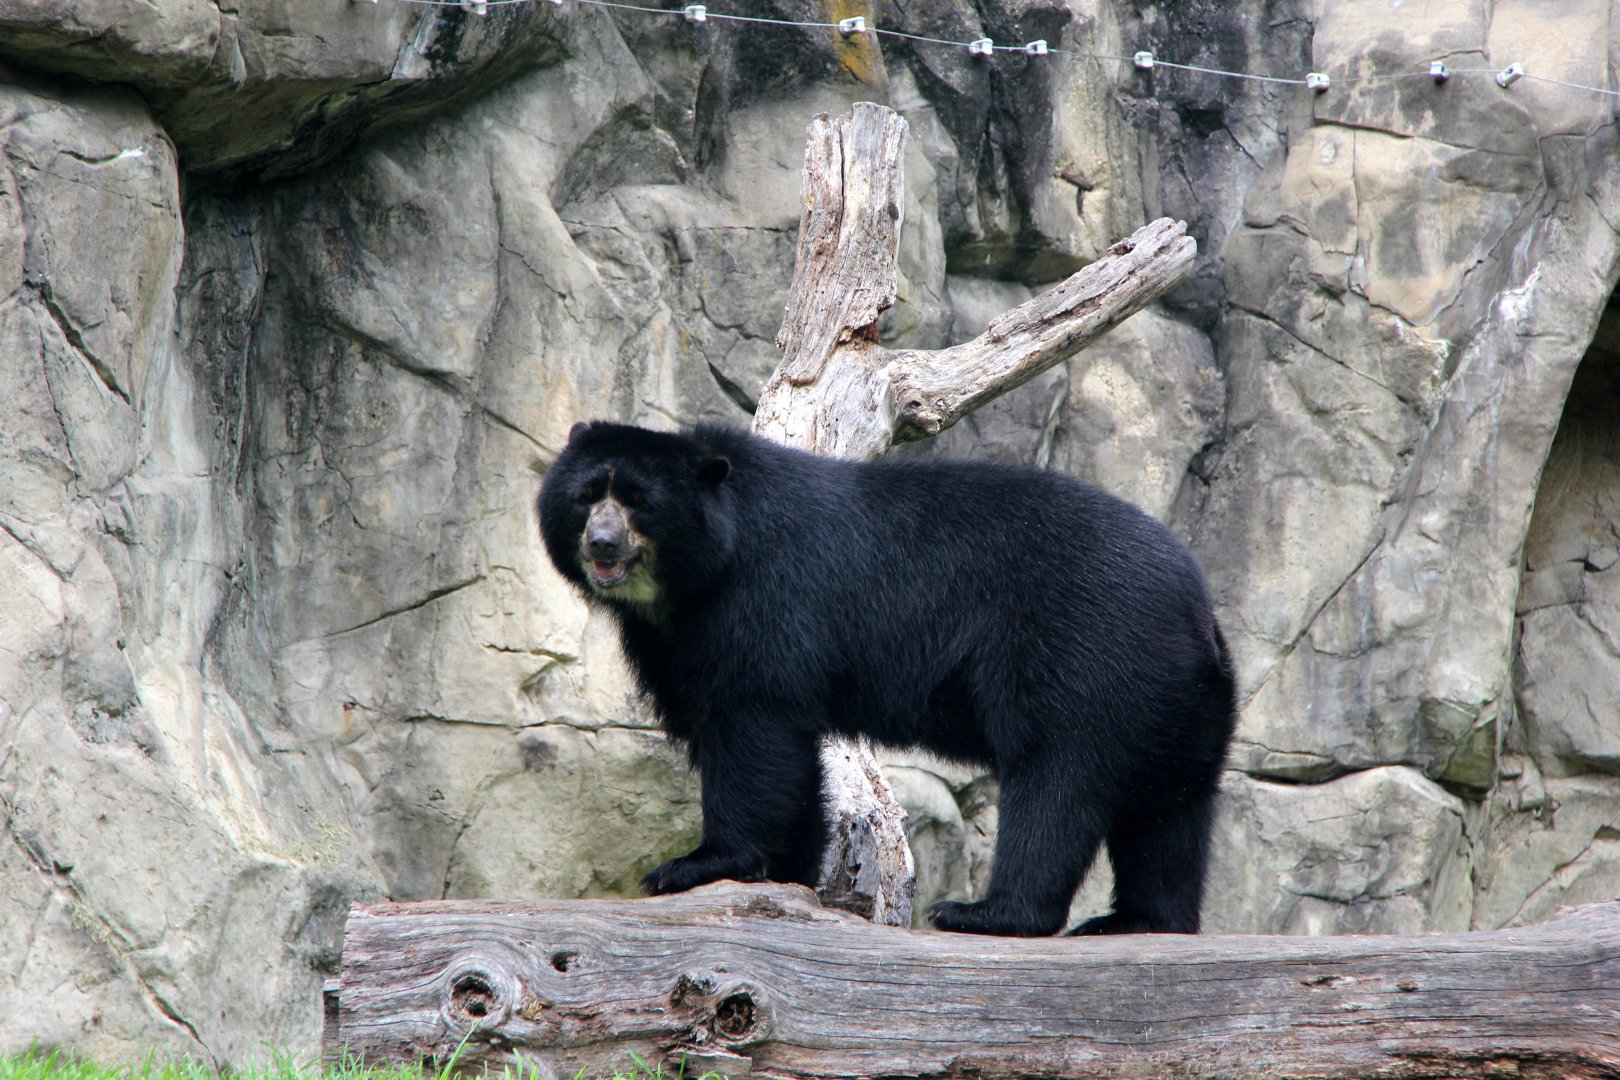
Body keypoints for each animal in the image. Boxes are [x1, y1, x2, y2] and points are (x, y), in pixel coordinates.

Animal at [537, 420, 1237, 937]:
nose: (601, 544)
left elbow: (752, 726)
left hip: (1086, 653)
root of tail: (1194, 604)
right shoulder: (673, 638)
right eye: (585, 497)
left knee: (1056, 783)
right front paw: (787, 872)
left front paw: (695, 864)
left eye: (639, 504)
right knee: (1171, 808)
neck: (687, 584)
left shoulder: (762, 600)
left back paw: (986, 913)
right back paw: (1141, 919)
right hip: (1177, 696)